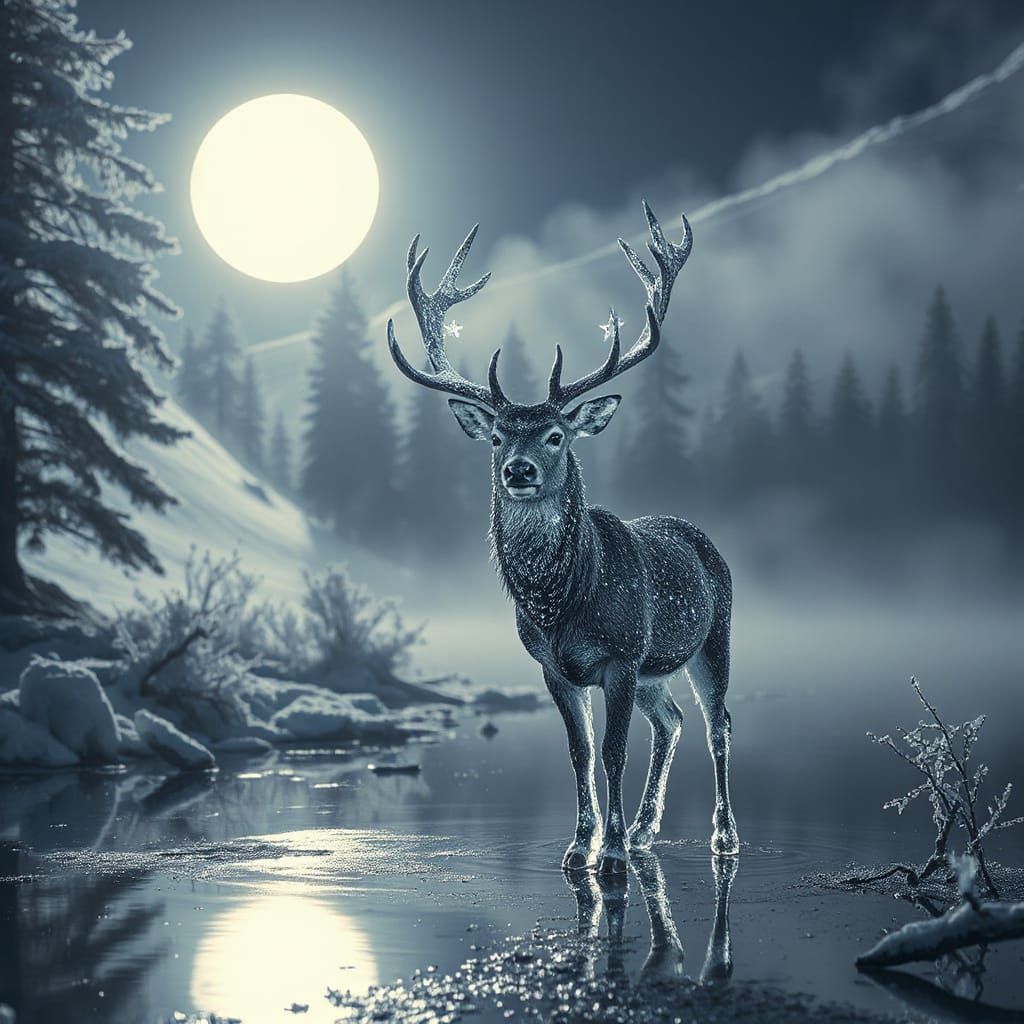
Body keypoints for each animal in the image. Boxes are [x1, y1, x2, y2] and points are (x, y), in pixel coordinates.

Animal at [386, 203, 739, 874]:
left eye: (555, 435)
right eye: (498, 436)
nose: (517, 470)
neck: (564, 601)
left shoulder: (622, 655)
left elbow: (612, 752)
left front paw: (612, 850)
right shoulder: (553, 667)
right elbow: (579, 752)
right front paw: (581, 844)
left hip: (713, 640)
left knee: (717, 724)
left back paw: (722, 835)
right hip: (656, 670)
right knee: (672, 720)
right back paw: (649, 827)